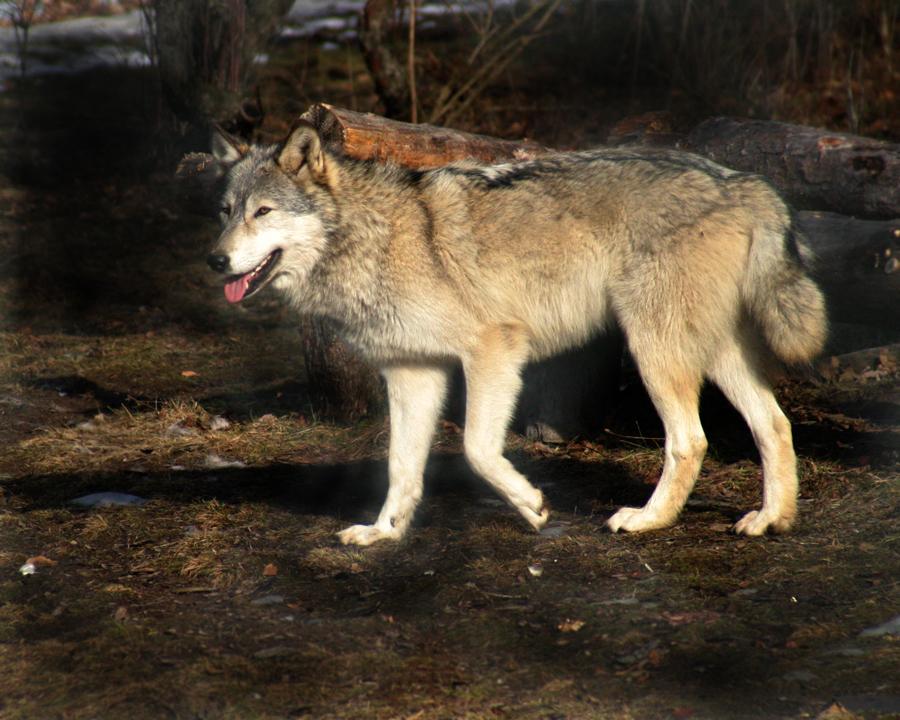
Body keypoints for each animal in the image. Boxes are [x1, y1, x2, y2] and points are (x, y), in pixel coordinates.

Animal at [201, 121, 826, 546]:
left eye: (263, 212)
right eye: (226, 211)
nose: (215, 260)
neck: (370, 237)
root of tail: (744, 181)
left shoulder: (493, 349)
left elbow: (478, 449)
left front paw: (531, 505)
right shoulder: (413, 373)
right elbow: (401, 467)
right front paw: (385, 532)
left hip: (654, 350)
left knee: (690, 440)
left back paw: (647, 520)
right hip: (713, 352)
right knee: (775, 424)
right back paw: (772, 519)